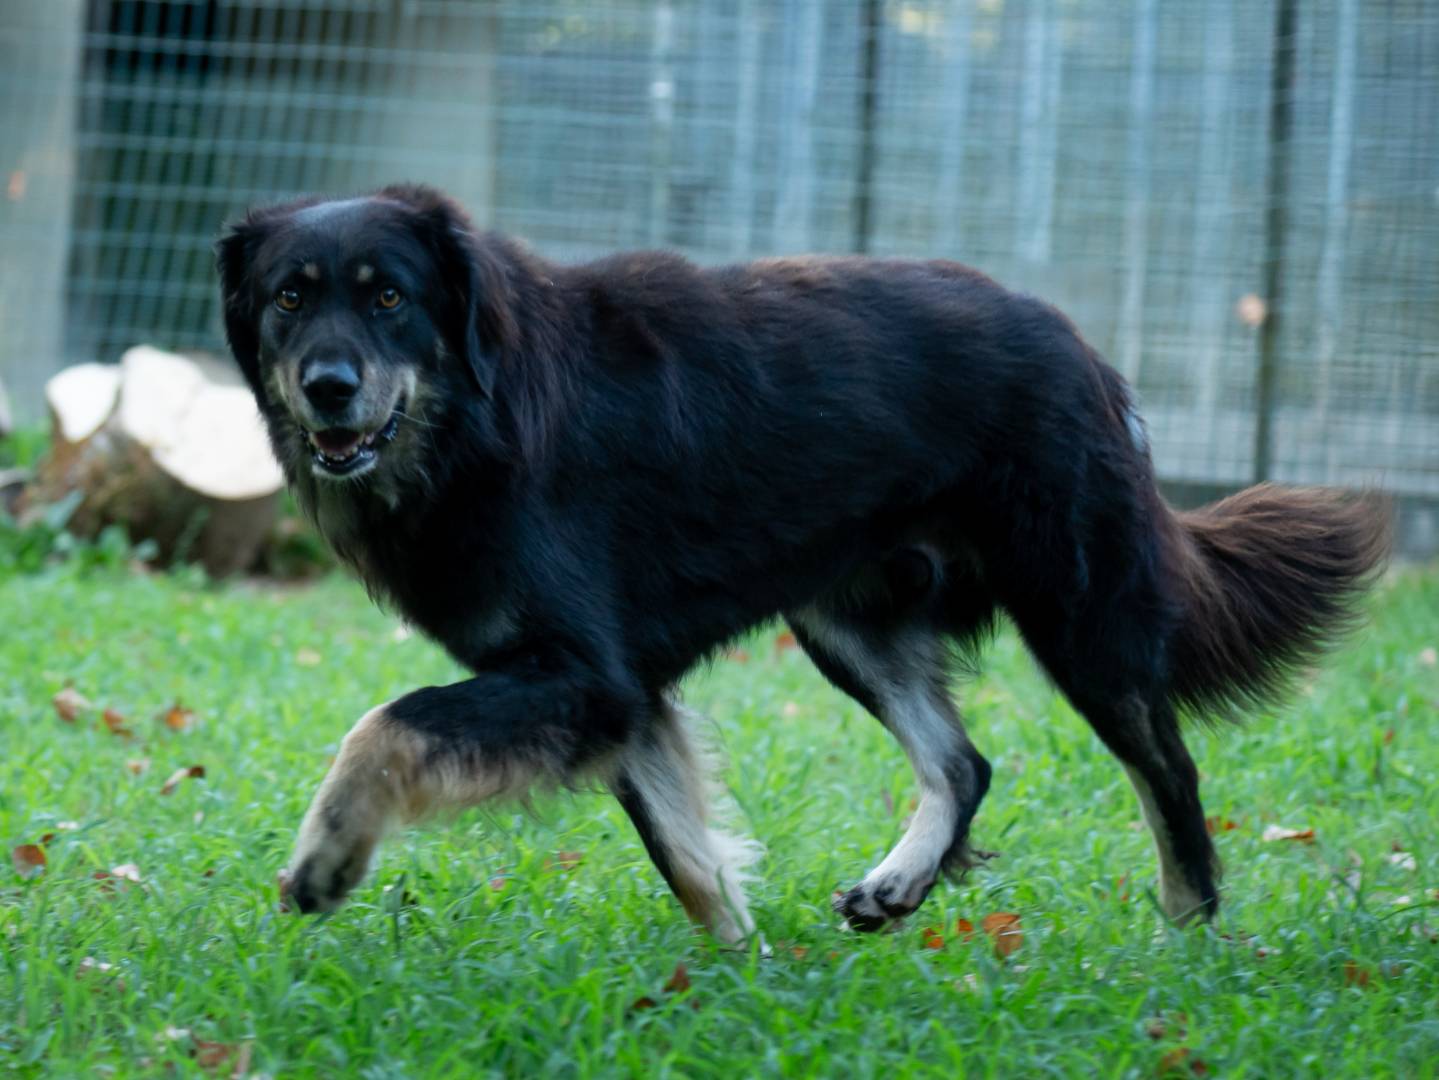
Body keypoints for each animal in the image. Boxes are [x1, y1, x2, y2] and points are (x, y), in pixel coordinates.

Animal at [212, 185, 1381, 937]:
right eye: (288, 297)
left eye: (389, 298)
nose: (327, 388)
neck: (477, 417)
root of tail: (1080, 346)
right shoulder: (622, 692)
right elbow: (686, 857)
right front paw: (733, 978)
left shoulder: (585, 673)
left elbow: (386, 723)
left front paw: (325, 859)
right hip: (847, 621)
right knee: (963, 763)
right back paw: (901, 885)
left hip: (1076, 614)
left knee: (1167, 769)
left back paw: (1187, 930)